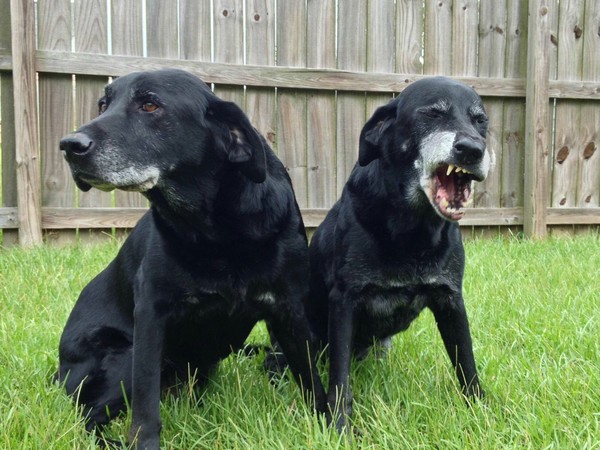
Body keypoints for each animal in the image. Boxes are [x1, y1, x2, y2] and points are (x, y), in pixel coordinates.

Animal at [56, 69, 326, 450]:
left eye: (150, 105)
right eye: (103, 105)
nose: (69, 145)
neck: (218, 233)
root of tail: (59, 370)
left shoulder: (290, 309)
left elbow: (312, 379)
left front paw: (336, 427)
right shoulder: (151, 317)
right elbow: (145, 408)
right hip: (122, 354)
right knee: (89, 417)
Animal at [304, 77, 492, 432]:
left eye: (480, 121)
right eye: (432, 114)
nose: (473, 150)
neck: (412, 232)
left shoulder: (450, 299)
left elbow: (467, 362)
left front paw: (482, 412)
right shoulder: (344, 301)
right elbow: (339, 377)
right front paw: (339, 426)